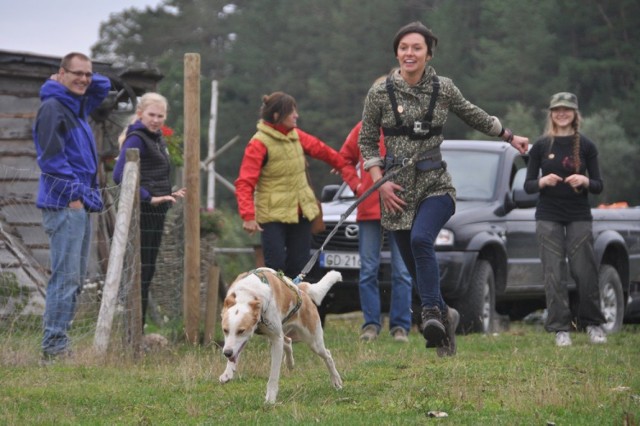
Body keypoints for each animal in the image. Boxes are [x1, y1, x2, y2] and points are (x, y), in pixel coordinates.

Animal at [219, 268, 342, 404]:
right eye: (225, 330)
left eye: (241, 331)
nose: (227, 353)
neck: (247, 293)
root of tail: (301, 289)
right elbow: (235, 353)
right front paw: (228, 372)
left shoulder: (276, 339)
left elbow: (273, 374)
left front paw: (270, 399)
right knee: (288, 341)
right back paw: (289, 362)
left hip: (313, 341)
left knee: (327, 355)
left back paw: (336, 380)